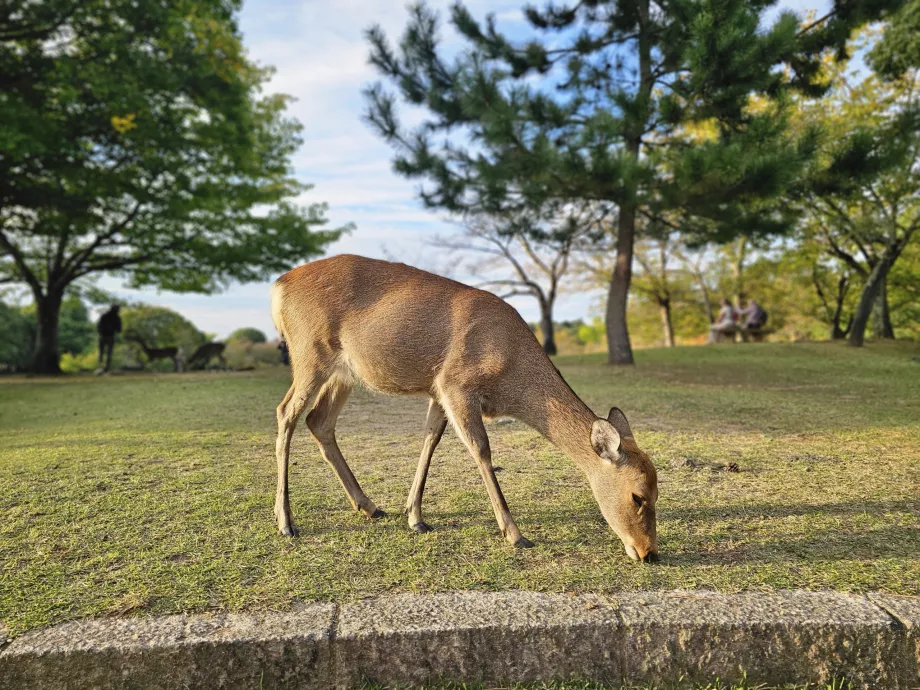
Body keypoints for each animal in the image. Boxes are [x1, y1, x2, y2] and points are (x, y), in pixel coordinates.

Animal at [270, 253, 656, 560]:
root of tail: (278, 285)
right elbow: (480, 449)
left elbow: (431, 438)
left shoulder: (437, 391)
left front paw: (415, 516)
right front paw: (516, 535)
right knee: (286, 412)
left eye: (657, 488)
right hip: (309, 354)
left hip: (344, 374)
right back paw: (286, 522)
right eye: (638, 496)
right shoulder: (455, 383)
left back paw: (370, 506)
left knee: (319, 420)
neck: (509, 376)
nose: (648, 552)